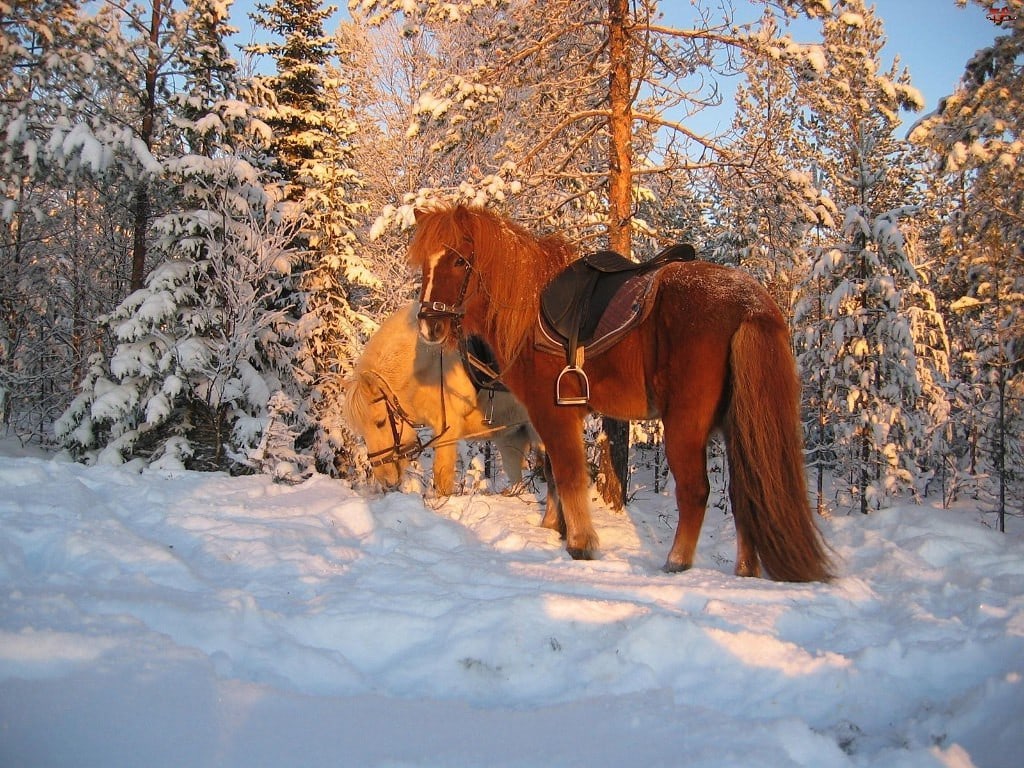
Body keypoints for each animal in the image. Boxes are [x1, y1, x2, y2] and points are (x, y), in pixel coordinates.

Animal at [407, 204, 831, 581]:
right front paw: (554, 528)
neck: (527, 308)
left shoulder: (552, 412)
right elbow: (553, 472)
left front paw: (580, 544)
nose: (429, 326)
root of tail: (749, 304)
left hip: (685, 426)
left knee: (695, 492)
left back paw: (677, 561)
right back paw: (745, 570)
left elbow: (568, 474)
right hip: (737, 425)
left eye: (459, 261)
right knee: (747, 492)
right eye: (424, 264)